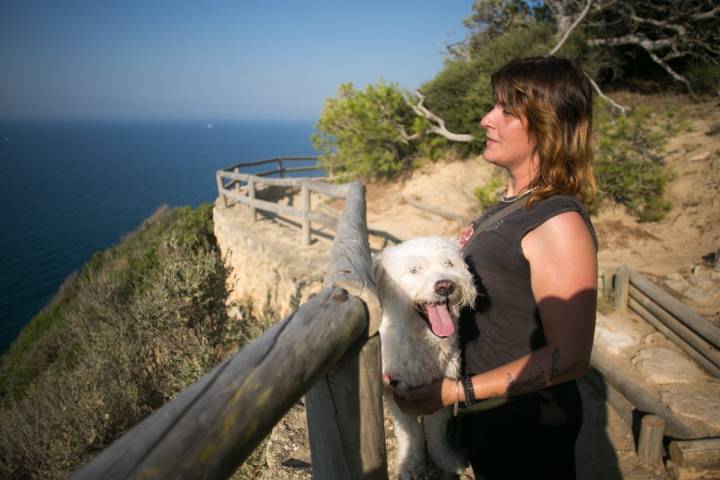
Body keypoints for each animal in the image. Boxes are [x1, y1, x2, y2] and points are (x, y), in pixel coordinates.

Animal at [374, 237, 476, 480]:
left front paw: (447, 461)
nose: (445, 286)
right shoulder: (396, 393)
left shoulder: (440, 393)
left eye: (449, 263)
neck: (424, 341)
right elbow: (410, 434)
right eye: (414, 270)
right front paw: (410, 465)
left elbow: (436, 433)